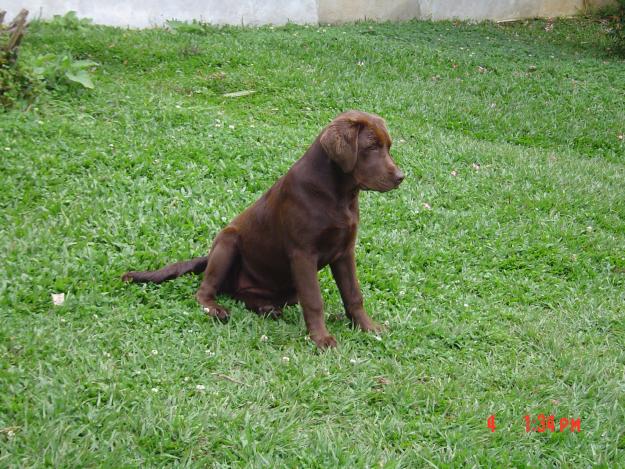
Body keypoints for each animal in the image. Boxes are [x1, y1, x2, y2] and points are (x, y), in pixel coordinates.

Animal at [123, 109, 404, 344]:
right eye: (371, 146)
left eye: (389, 147)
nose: (401, 177)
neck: (339, 195)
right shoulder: (303, 254)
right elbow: (314, 300)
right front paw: (321, 339)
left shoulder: (345, 252)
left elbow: (353, 294)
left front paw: (367, 327)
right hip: (228, 242)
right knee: (205, 290)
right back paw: (218, 309)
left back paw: (270, 308)